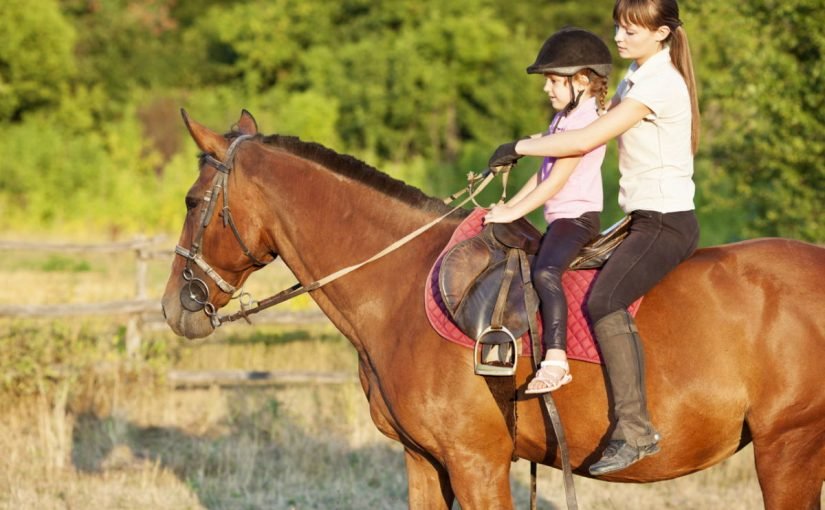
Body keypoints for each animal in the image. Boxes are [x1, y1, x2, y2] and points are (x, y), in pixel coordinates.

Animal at [161, 110, 825, 509]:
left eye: (193, 201)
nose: (176, 306)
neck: (402, 289)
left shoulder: (477, 463)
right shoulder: (423, 462)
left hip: (789, 448)